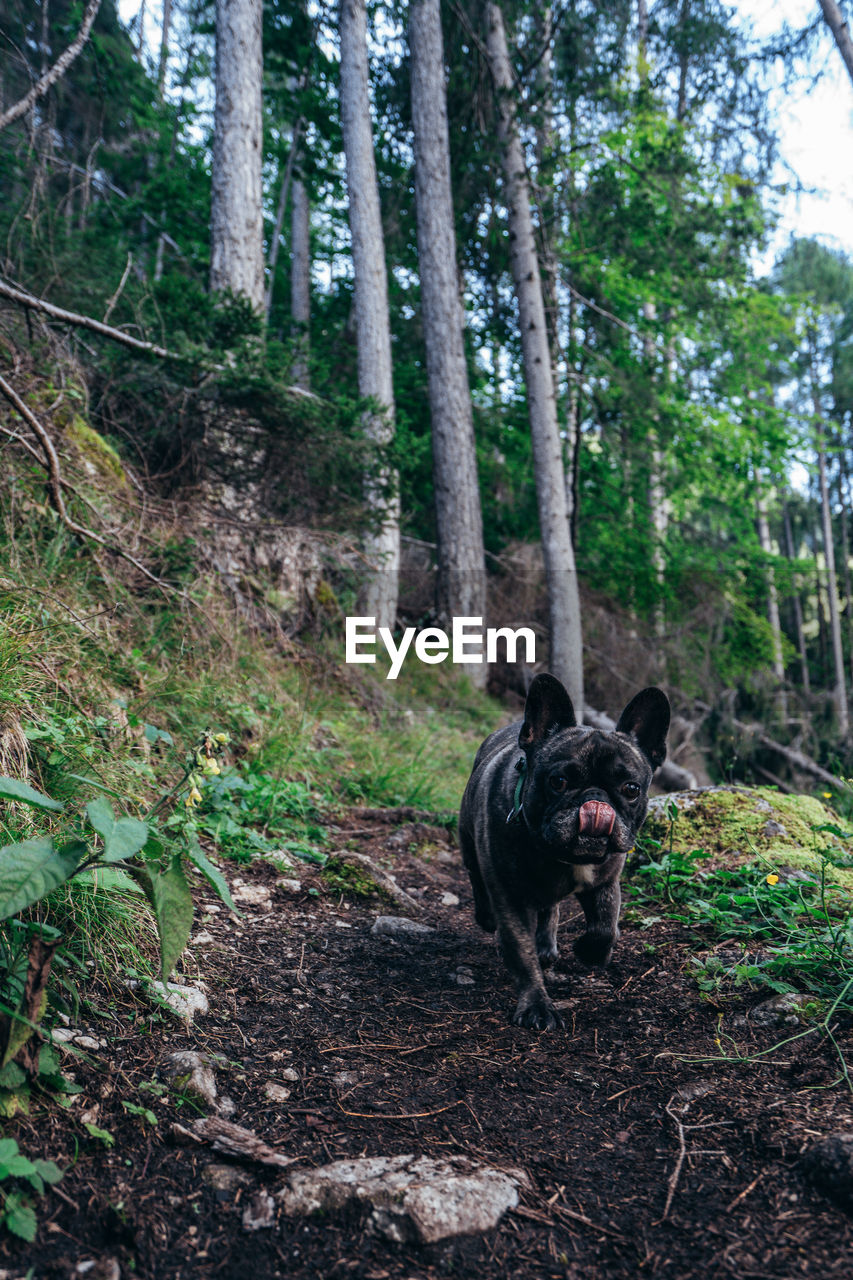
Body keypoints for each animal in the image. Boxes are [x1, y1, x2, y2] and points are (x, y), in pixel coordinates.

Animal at [455, 680, 666, 1029]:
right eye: (558, 781)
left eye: (631, 789)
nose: (596, 801)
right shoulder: (510, 897)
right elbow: (521, 951)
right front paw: (537, 1007)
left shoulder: (605, 883)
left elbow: (606, 927)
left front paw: (590, 952)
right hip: (469, 843)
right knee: (479, 886)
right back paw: (491, 920)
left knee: (550, 910)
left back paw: (547, 946)